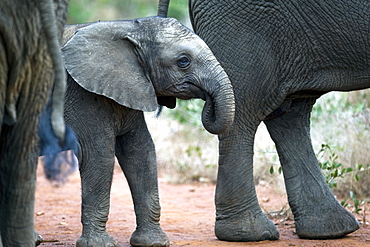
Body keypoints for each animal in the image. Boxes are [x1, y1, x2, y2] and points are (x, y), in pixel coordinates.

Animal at [60, 16, 234, 246]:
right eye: (183, 61)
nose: (208, 101)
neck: (127, 28)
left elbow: (141, 152)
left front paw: (153, 242)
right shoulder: (82, 93)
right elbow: (99, 155)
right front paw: (100, 245)